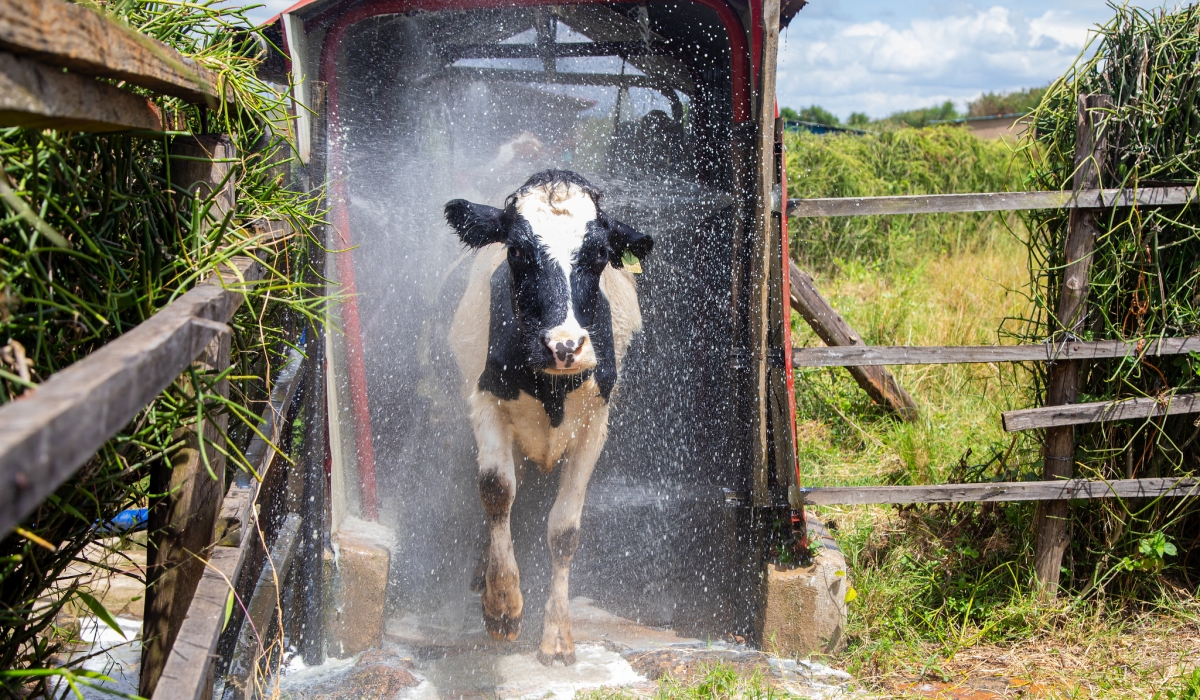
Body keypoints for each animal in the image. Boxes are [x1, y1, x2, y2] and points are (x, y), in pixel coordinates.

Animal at [448, 166, 657, 667]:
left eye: (600, 252)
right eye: (517, 250)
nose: (564, 346)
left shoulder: (595, 425)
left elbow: (564, 530)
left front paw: (558, 635)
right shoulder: (485, 401)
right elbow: (496, 490)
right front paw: (502, 604)